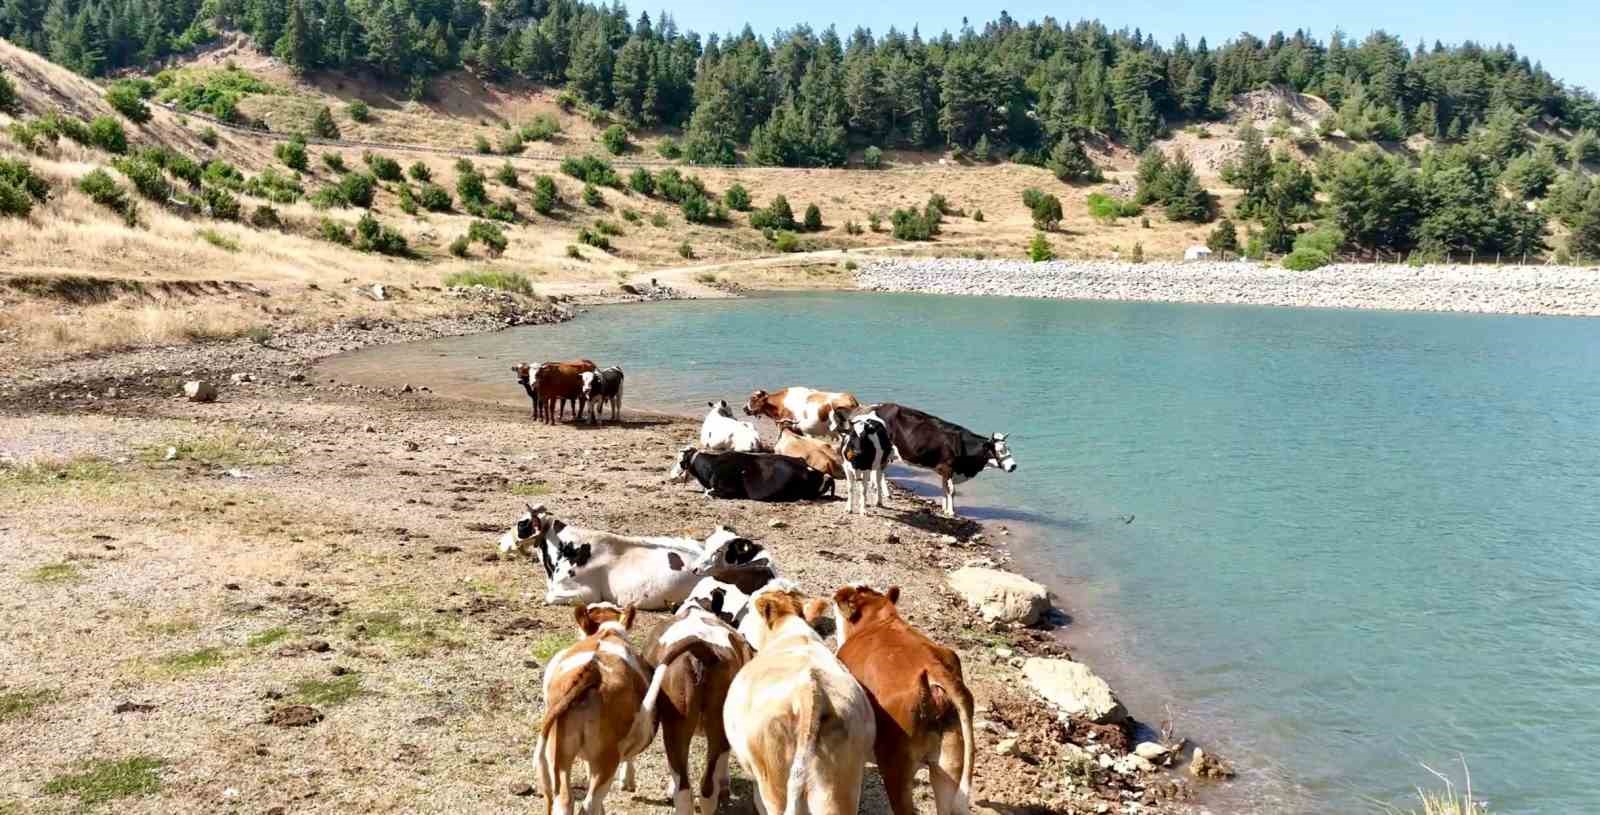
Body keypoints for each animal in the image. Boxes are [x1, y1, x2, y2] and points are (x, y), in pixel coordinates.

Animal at [531, 602, 643, 813]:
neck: (607, 630)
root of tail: (592, 671)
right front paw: (628, 780)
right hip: (607, 759)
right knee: (590, 802)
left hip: (558, 751)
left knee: (565, 799)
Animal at [870, 403, 1017, 518]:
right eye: (1000, 450)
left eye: (1009, 448)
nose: (1013, 466)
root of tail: (880, 406)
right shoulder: (947, 468)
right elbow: (951, 491)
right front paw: (951, 512)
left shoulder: (945, 471)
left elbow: (945, 489)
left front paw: (945, 509)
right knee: (876, 474)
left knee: (880, 473)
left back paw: (885, 495)